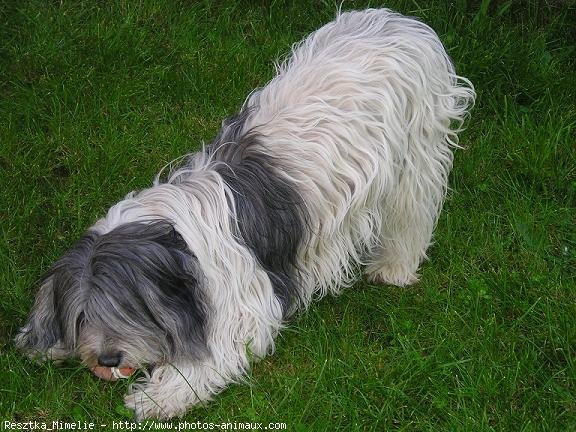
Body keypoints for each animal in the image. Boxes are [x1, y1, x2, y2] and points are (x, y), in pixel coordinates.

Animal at [15, 8, 474, 420]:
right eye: (82, 315)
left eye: (132, 308)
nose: (108, 359)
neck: (178, 243)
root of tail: (400, 22)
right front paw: (45, 342)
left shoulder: (245, 302)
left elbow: (219, 351)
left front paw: (160, 397)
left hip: (415, 157)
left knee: (413, 215)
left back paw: (393, 268)